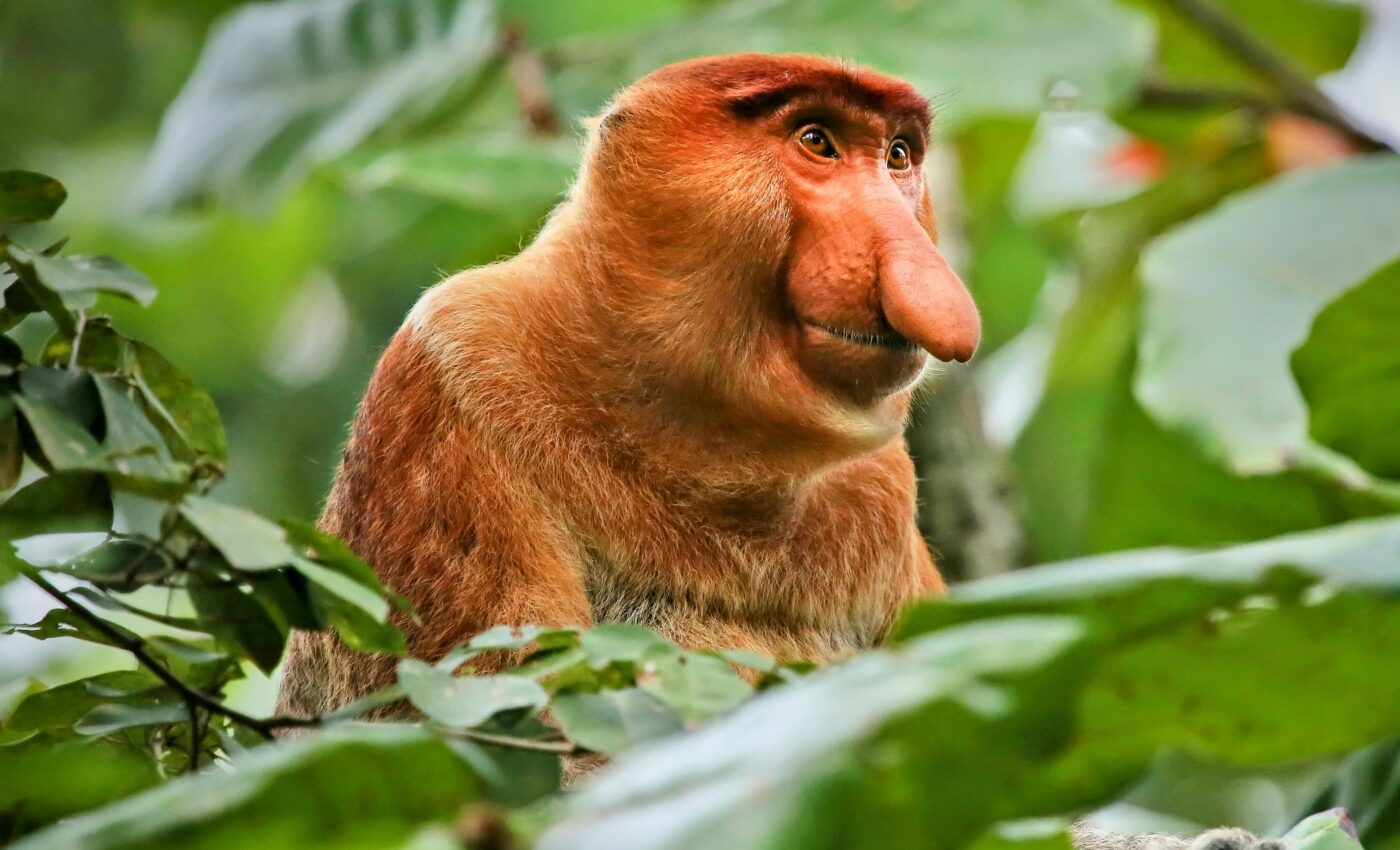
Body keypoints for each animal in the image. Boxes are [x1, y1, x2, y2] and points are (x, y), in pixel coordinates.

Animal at [276, 54, 1283, 850]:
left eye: (898, 156)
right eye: (817, 141)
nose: (917, 261)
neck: (697, 437)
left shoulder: (880, 483)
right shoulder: (455, 377)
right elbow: (520, 759)